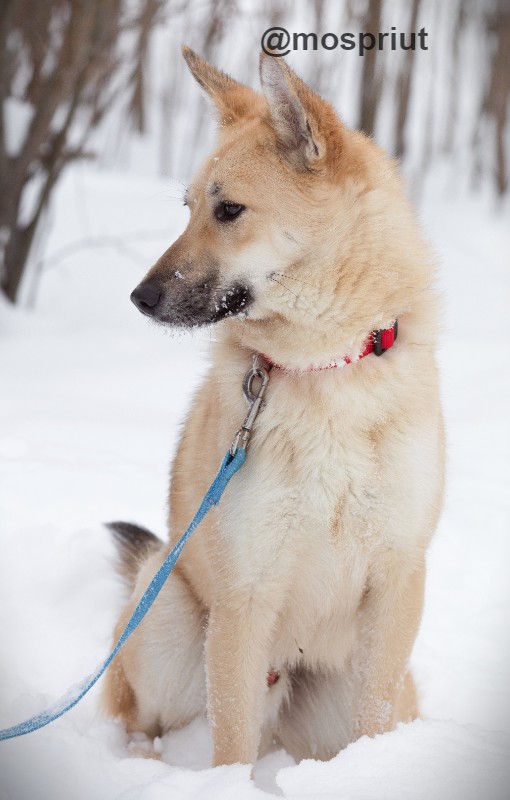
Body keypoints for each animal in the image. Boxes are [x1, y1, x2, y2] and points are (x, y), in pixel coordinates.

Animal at [101, 45, 444, 768]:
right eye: (187, 208)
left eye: (228, 210)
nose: (140, 298)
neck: (326, 369)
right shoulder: (243, 599)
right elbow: (231, 745)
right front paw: (227, 783)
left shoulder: (398, 579)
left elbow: (374, 722)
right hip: (169, 613)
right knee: (137, 715)